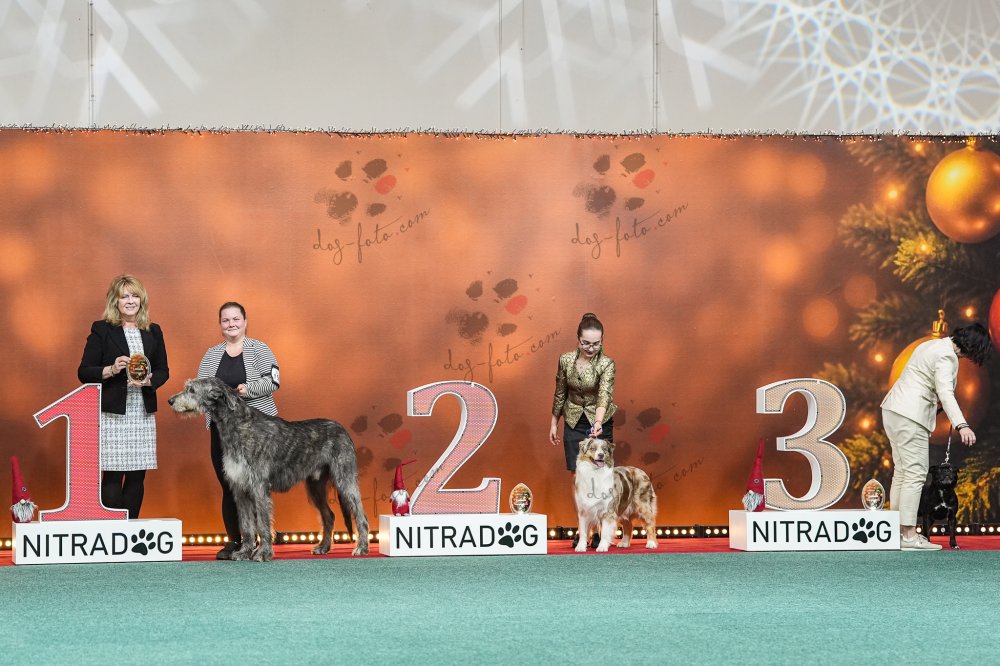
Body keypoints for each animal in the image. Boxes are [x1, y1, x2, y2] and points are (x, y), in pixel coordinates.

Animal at [168, 377, 370, 561]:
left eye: (191, 389)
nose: (170, 401)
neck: (238, 426)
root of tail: (343, 429)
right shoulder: (239, 488)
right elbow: (247, 525)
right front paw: (244, 552)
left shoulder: (259, 486)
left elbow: (263, 523)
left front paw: (263, 553)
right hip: (315, 486)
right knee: (329, 516)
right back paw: (323, 547)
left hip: (345, 479)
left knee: (361, 514)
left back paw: (362, 547)